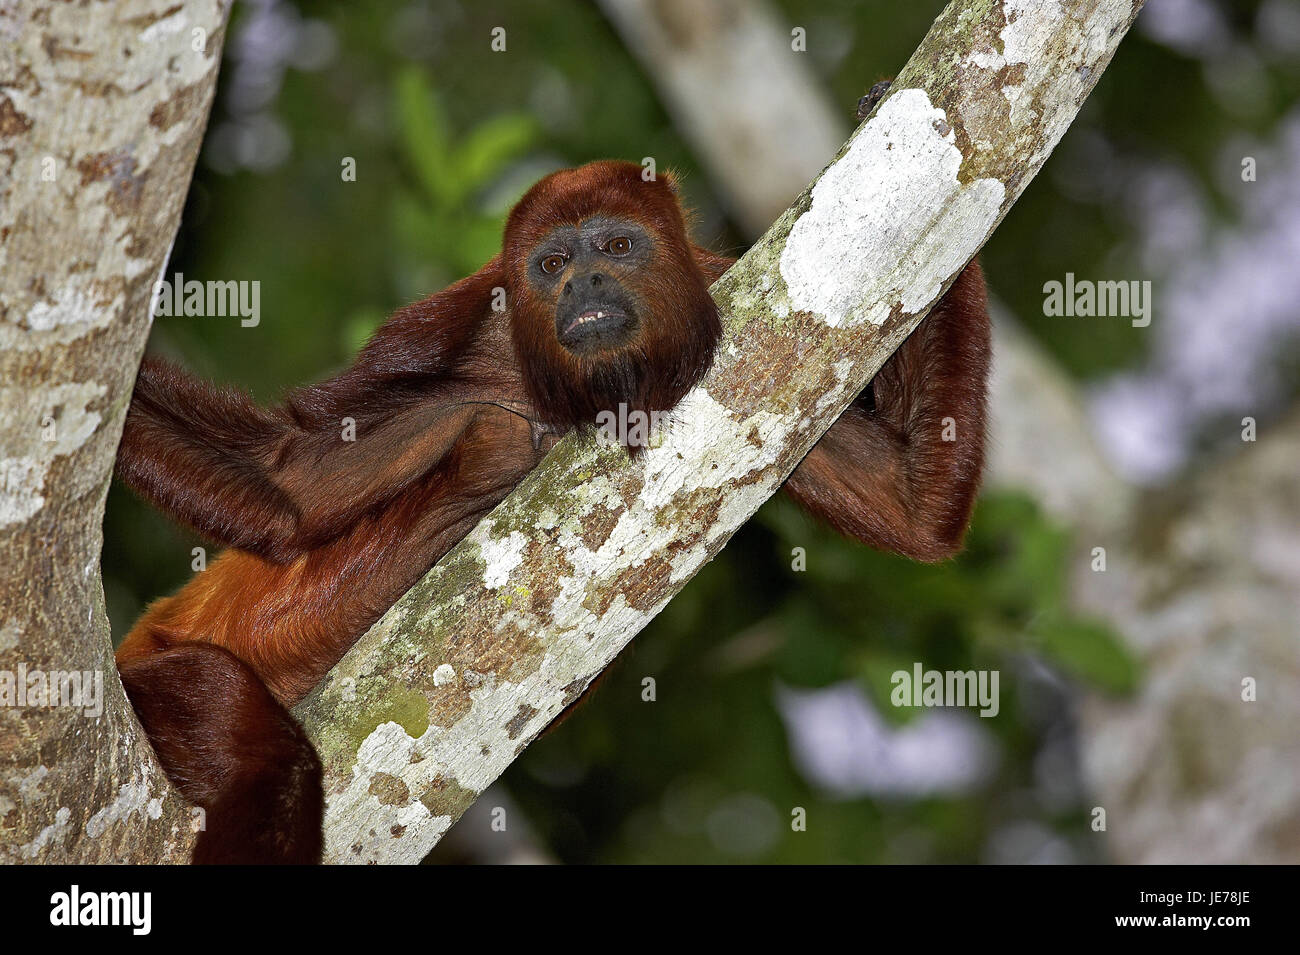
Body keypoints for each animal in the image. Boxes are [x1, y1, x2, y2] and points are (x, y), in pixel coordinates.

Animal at [116, 153, 987, 862]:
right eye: (555, 261)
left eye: (617, 247)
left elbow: (908, 505)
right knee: (264, 749)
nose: (585, 284)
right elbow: (290, 483)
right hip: (140, 679)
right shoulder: (451, 328)